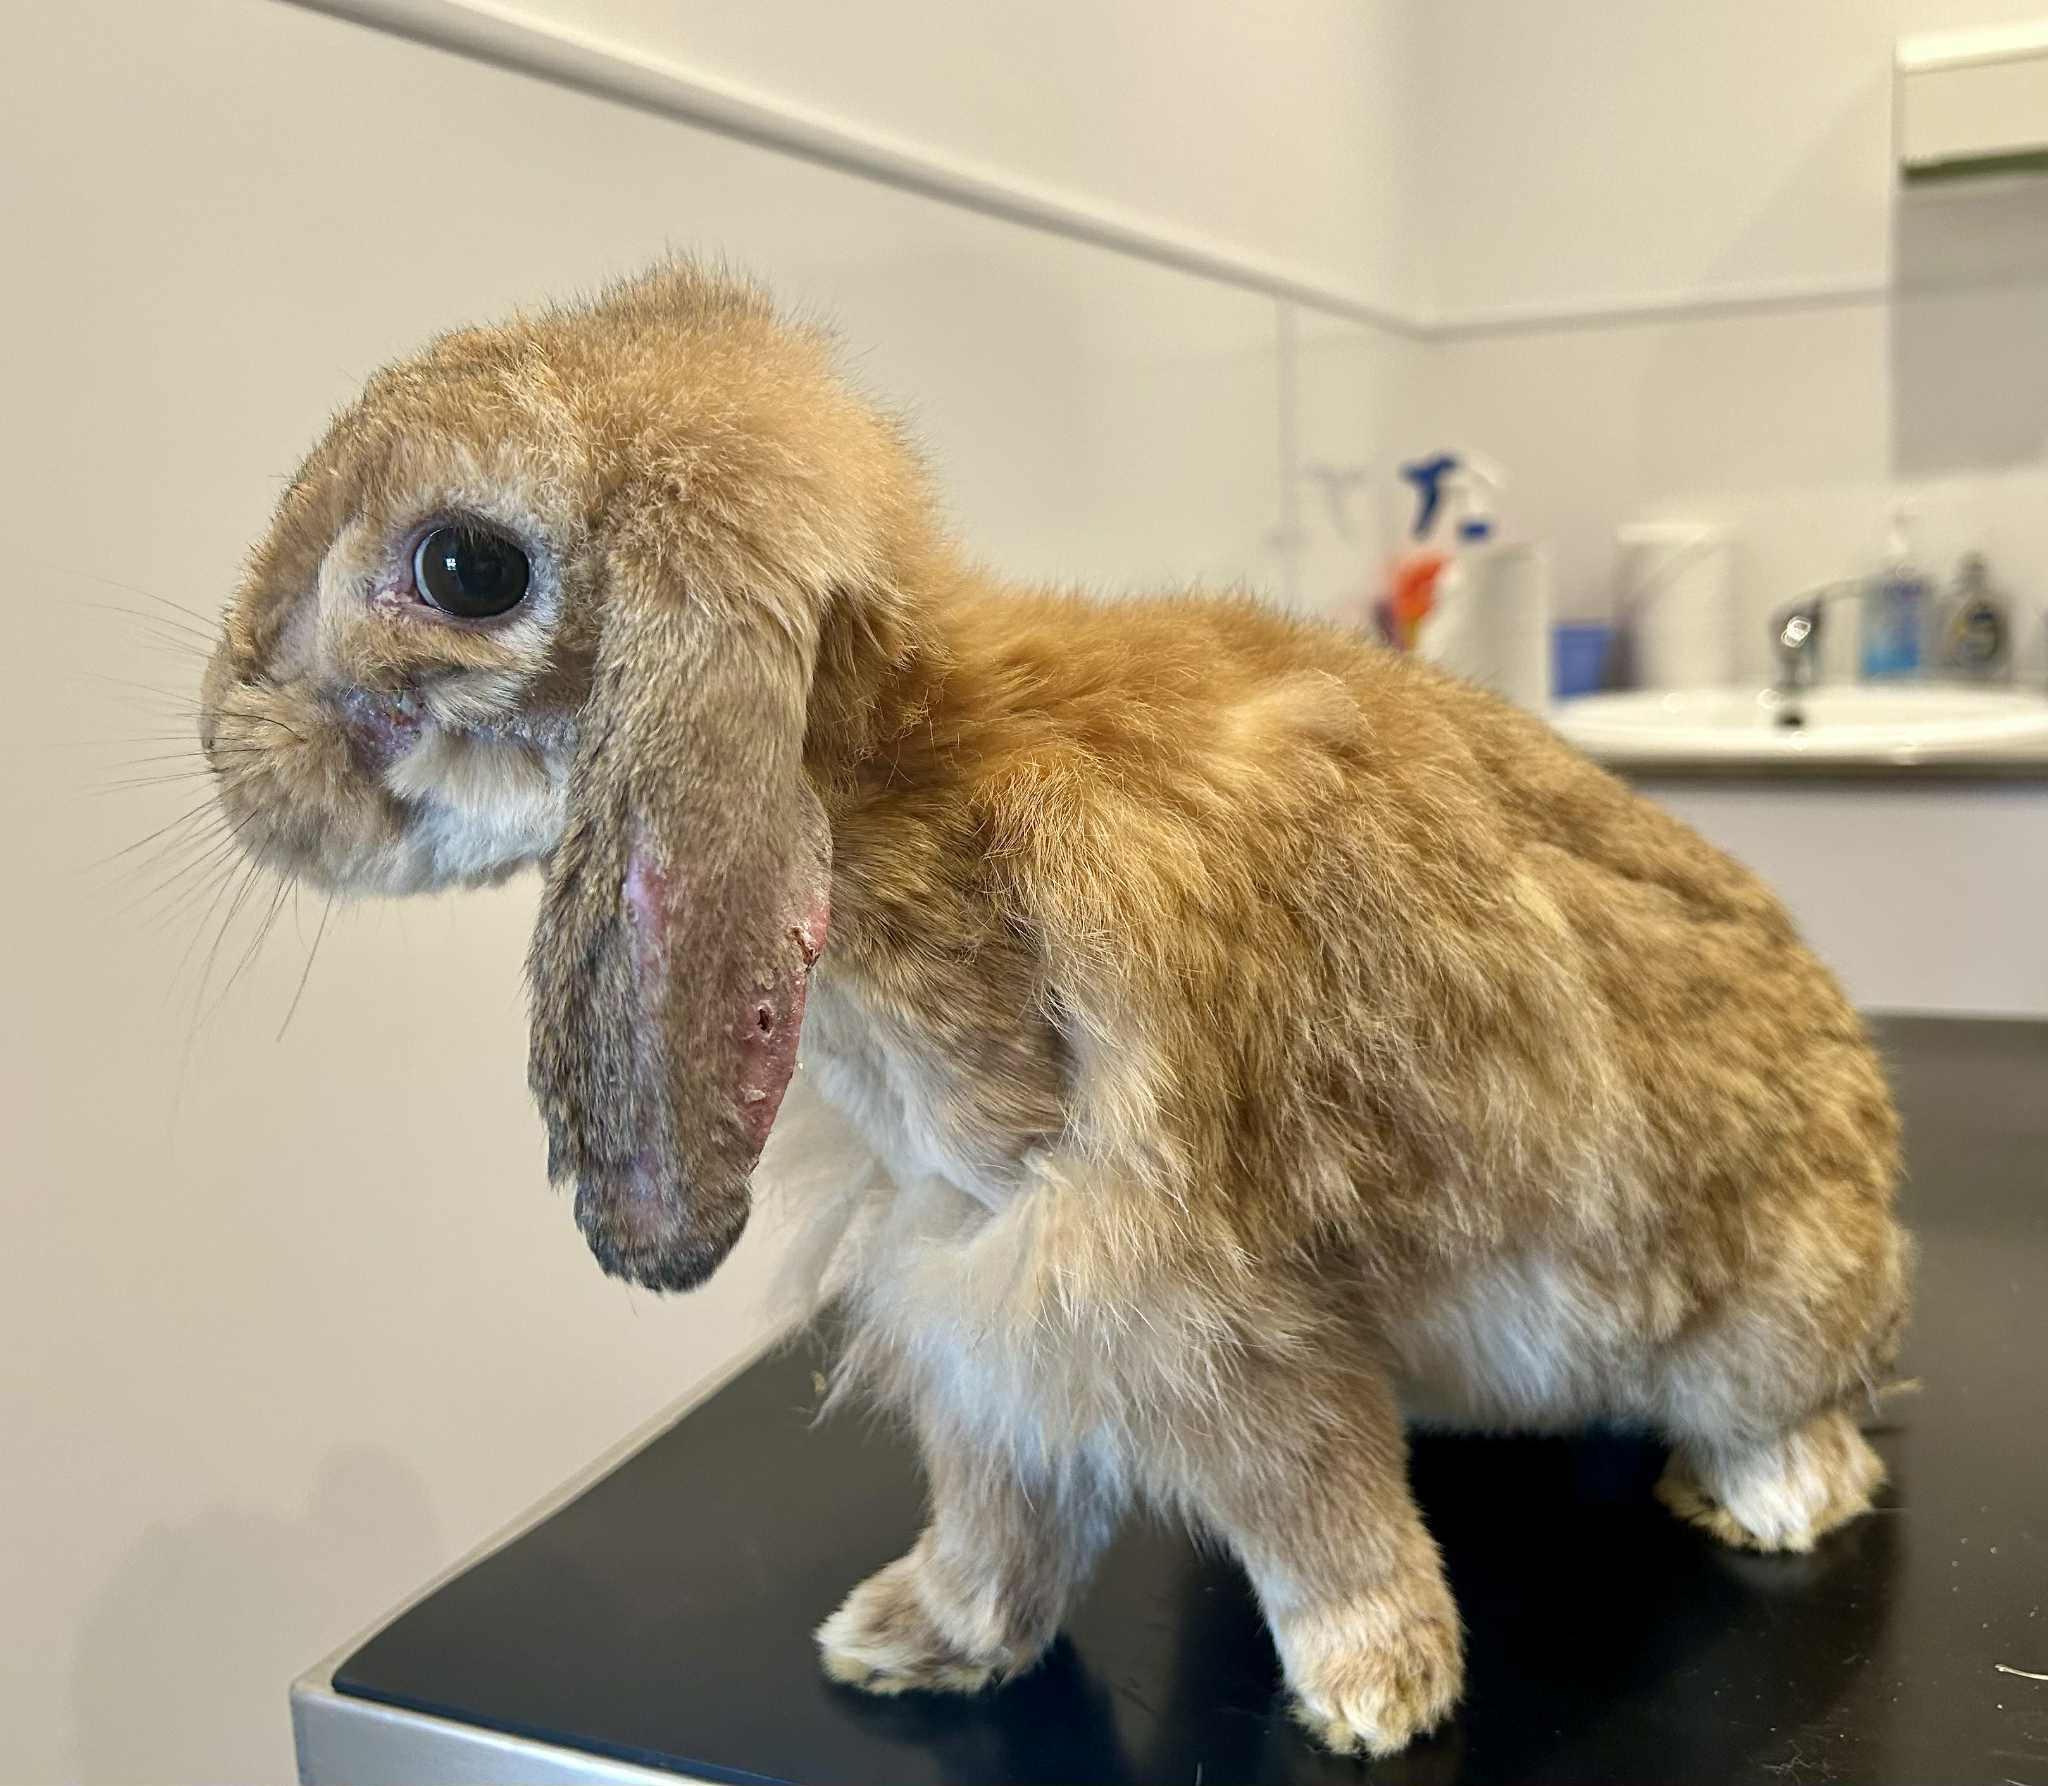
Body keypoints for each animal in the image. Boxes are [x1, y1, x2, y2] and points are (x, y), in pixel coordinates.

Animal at [198, 261, 1910, 1758]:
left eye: (464, 567)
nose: (232, 754)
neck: (904, 772)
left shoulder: (1181, 1290)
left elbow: (1312, 1496)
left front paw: (1375, 1691)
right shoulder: (976, 1286)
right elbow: (998, 1498)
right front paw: (914, 1636)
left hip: (1761, 1314)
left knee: (1787, 1418)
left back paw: (1771, 1495)